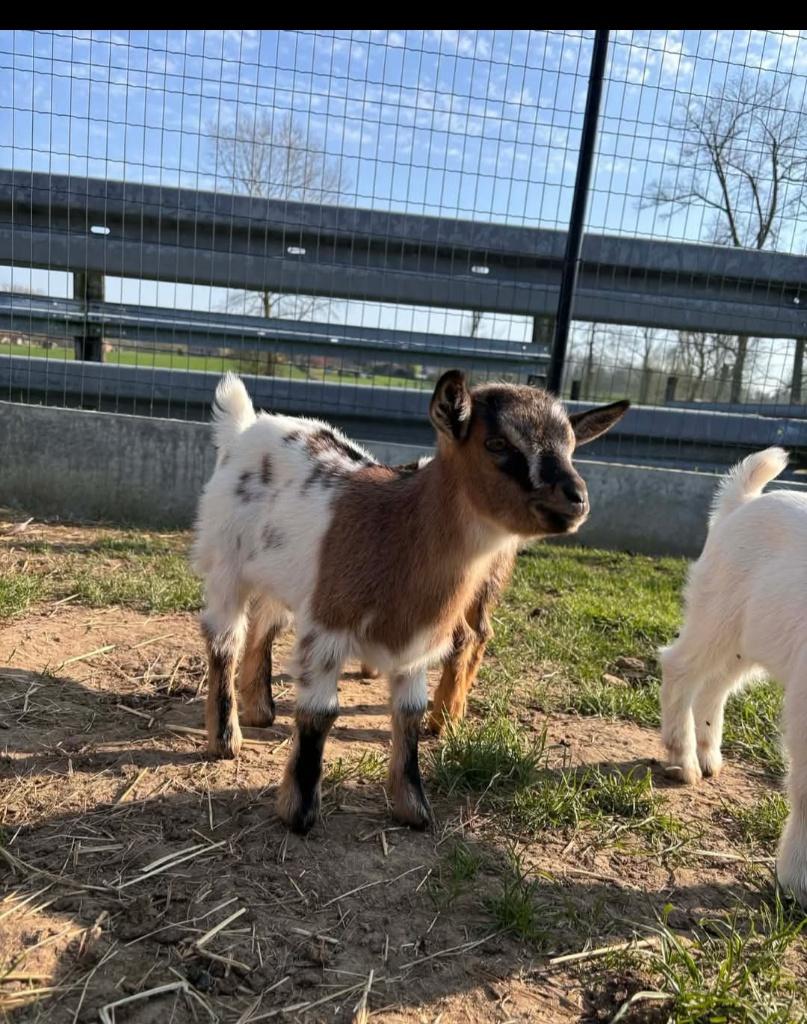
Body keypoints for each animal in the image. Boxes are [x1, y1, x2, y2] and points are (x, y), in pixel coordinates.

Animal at [193, 370, 628, 834]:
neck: (399, 526)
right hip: (225, 563)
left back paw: (260, 710)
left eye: (571, 446)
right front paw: (299, 813)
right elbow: (319, 713)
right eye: (497, 443)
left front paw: (414, 809)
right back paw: (225, 739)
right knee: (224, 640)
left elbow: (410, 714)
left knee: (264, 625)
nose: (576, 498)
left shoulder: (418, 642)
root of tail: (247, 426)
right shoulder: (330, 624)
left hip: (282, 576)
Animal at [660, 447, 807, 906]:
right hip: (717, 612)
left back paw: (708, 756)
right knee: (680, 667)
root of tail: (740, 503)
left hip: (748, 640)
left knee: (715, 686)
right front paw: (796, 882)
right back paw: (685, 759)